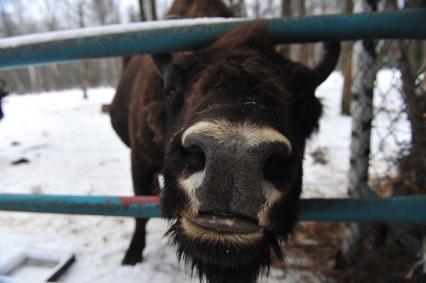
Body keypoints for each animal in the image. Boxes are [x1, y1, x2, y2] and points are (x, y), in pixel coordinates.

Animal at [109, 1, 340, 282]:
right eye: (171, 88)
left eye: (305, 99)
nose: (233, 160)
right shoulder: (140, 160)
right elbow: (139, 211)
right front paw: (132, 256)